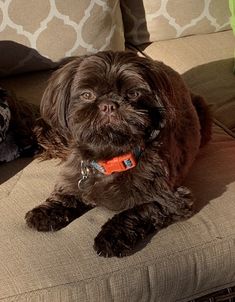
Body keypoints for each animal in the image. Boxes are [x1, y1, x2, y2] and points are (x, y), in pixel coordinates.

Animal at [24, 51, 212, 258]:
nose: (109, 105)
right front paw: (46, 212)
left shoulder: (174, 201)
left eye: (133, 93)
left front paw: (110, 238)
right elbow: (68, 193)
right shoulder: (77, 174)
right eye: (87, 94)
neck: (111, 160)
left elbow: (138, 210)